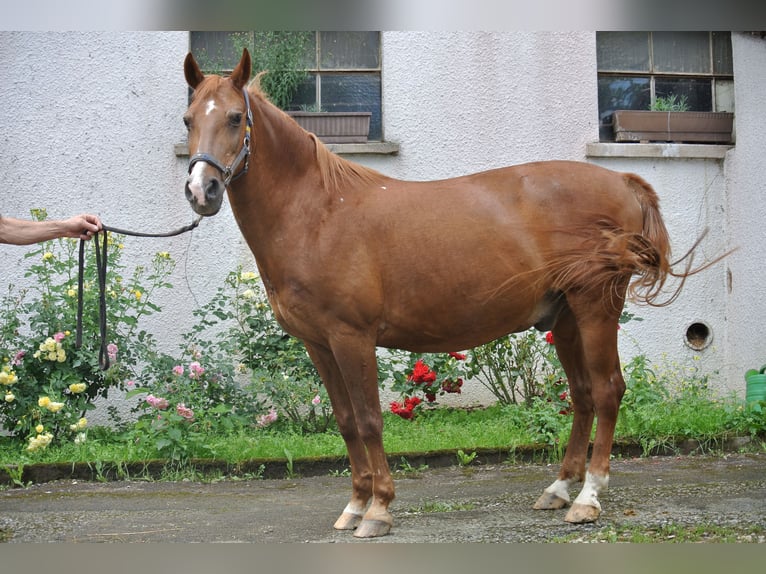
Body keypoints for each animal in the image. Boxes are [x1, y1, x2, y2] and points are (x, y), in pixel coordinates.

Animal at [184, 50, 688, 540]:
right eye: (188, 119)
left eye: (234, 118)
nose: (201, 190)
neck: (318, 213)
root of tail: (622, 181)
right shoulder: (318, 344)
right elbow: (346, 421)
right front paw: (355, 505)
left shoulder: (352, 338)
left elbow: (369, 419)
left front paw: (379, 510)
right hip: (564, 320)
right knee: (582, 396)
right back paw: (560, 489)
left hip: (596, 307)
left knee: (607, 391)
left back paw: (588, 498)